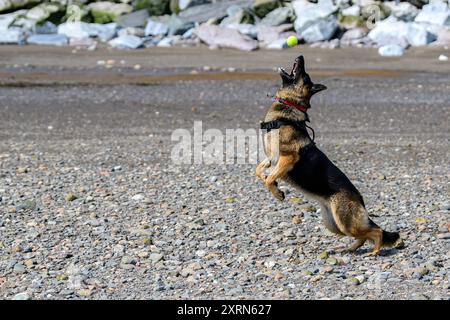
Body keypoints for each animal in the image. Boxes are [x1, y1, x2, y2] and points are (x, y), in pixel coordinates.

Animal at [256, 55, 400, 255]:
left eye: (305, 74)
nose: (300, 56)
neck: (287, 113)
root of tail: (360, 199)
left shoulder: (288, 158)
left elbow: (270, 178)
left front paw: (277, 193)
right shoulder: (271, 158)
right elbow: (259, 171)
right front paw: (270, 182)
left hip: (345, 222)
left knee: (376, 231)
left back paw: (374, 252)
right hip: (335, 224)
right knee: (364, 235)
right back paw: (349, 249)